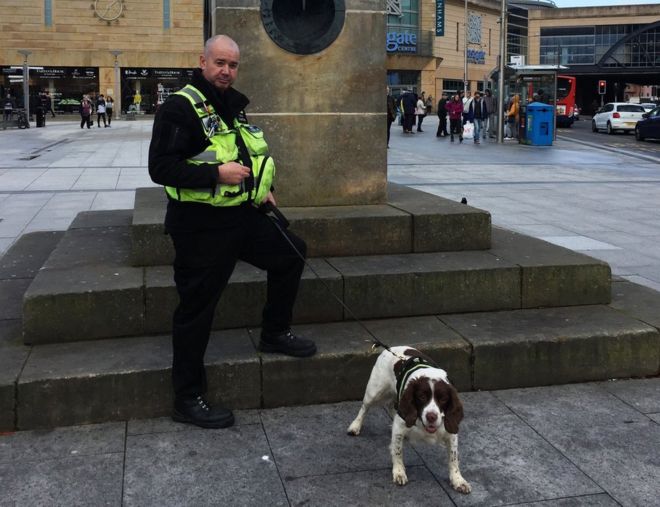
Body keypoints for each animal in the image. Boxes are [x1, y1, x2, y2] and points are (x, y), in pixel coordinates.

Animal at [348, 348, 472, 494]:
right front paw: (399, 472)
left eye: (443, 399)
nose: (431, 416)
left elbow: (453, 458)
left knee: (391, 406)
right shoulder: (399, 427)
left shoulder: (451, 432)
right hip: (374, 392)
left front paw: (458, 480)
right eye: (421, 396)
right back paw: (355, 426)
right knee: (364, 408)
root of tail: (390, 348)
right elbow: (397, 451)